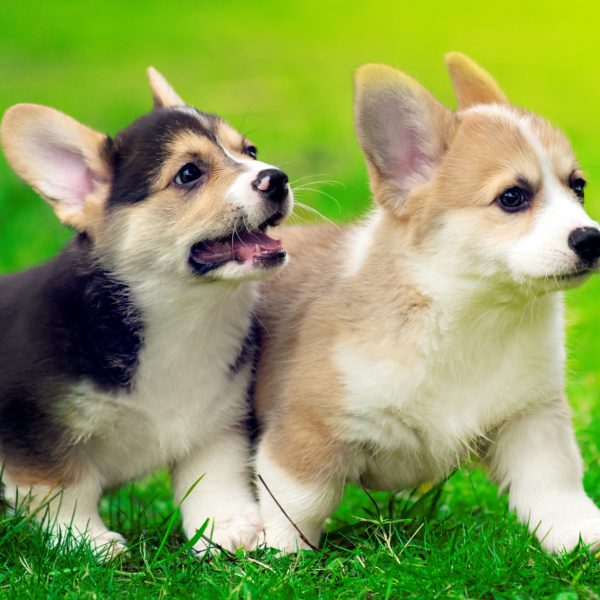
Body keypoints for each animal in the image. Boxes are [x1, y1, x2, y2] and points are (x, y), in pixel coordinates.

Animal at [0, 68, 292, 556]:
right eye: (189, 173)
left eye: (249, 152)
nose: (278, 178)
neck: (179, 314)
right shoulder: (31, 430)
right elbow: (64, 487)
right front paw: (90, 541)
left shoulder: (217, 422)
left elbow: (214, 476)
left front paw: (228, 527)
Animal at [252, 54, 600, 556]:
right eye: (513, 197)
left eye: (578, 187)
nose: (592, 240)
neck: (473, 315)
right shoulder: (309, 426)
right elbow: (298, 504)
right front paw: (277, 558)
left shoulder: (531, 418)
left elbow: (555, 484)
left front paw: (581, 536)